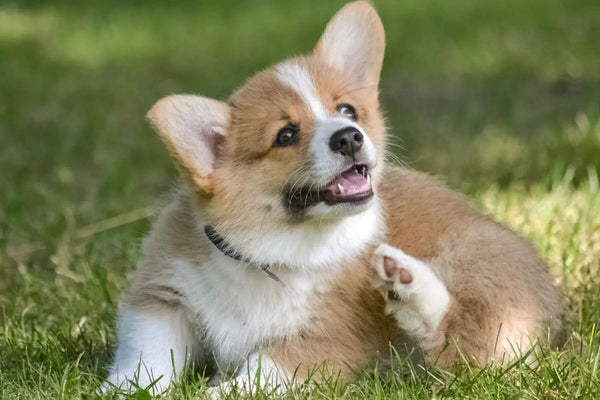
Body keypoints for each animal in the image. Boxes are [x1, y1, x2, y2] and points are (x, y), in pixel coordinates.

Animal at [103, 0, 564, 394]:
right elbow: (144, 358)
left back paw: (405, 281)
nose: (349, 137)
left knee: (463, 343)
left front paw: (215, 393)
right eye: (285, 135)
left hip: (476, 265)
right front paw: (118, 390)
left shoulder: (321, 345)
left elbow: (257, 374)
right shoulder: (164, 299)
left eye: (347, 110)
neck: (267, 253)